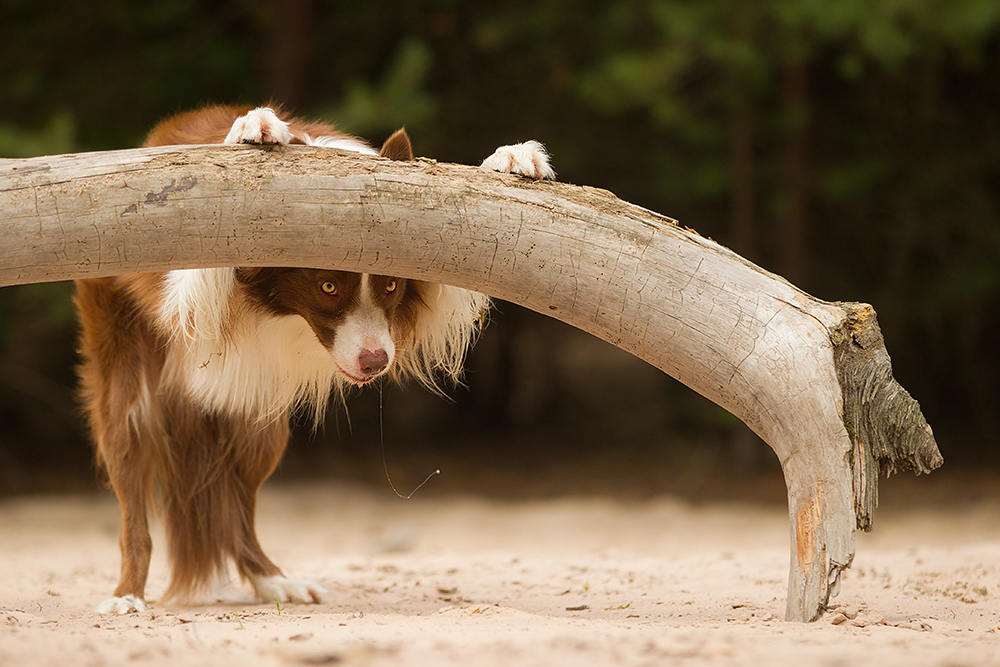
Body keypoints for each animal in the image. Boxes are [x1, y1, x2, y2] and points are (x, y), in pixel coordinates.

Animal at [74, 105, 552, 616]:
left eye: (390, 286)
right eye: (328, 286)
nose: (375, 362)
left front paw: (513, 158)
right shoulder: (188, 290)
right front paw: (252, 128)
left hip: (259, 428)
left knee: (239, 507)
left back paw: (273, 581)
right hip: (127, 391)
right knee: (133, 502)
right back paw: (126, 594)